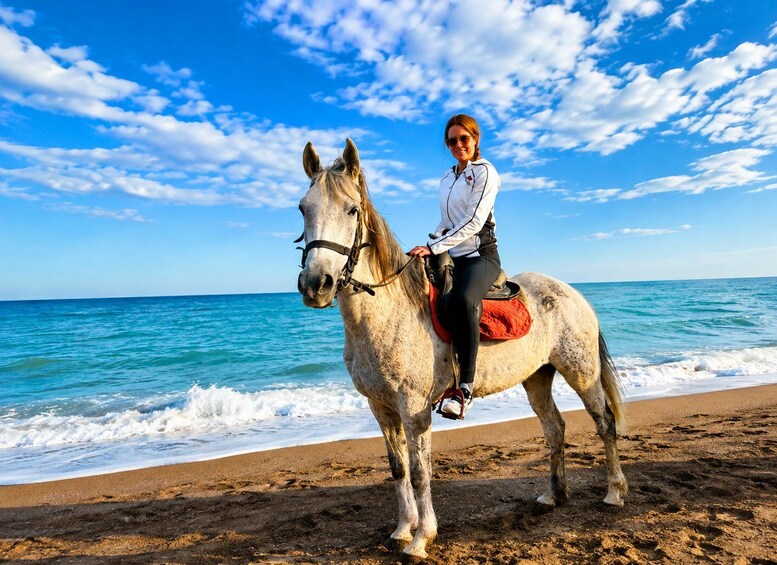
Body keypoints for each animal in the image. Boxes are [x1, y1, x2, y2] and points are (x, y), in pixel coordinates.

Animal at [296, 138, 627, 562]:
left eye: (351, 209)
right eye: (303, 208)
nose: (316, 284)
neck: (388, 311)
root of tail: (574, 293)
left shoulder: (413, 407)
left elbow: (420, 472)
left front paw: (422, 538)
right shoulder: (381, 407)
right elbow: (398, 469)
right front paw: (402, 530)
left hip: (581, 373)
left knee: (604, 422)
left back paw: (614, 492)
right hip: (537, 378)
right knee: (555, 428)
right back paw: (553, 495)